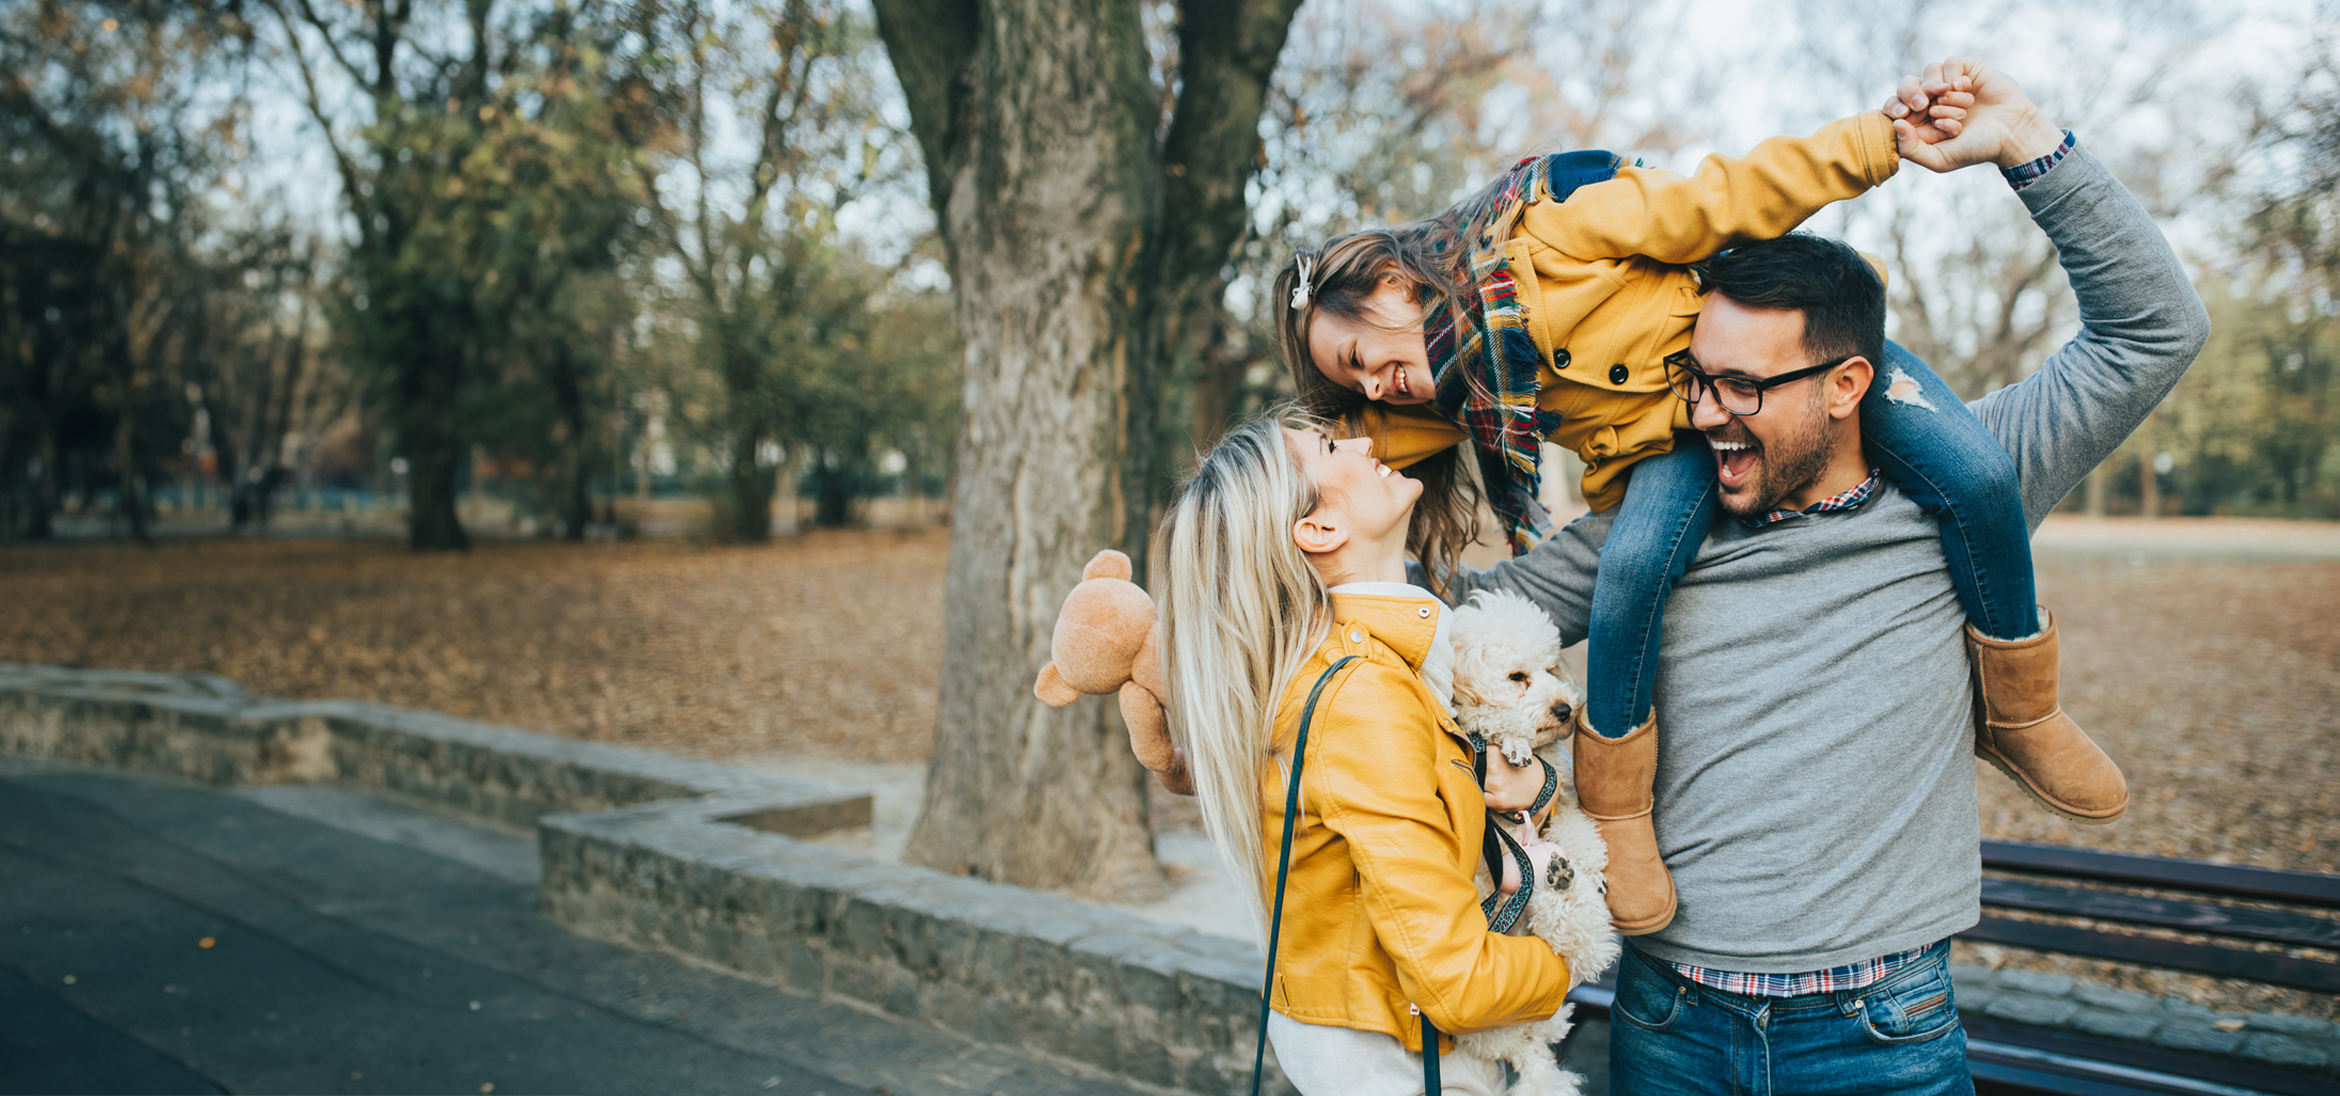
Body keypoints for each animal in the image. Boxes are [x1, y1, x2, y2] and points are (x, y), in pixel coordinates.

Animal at [1441, 590, 1628, 1096]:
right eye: (1517, 677)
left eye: (1550, 669)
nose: (1565, 709)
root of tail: (1526, 1048)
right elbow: (1484, 714)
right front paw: (1513, 735)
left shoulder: (1559, 799)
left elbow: (1579, 829)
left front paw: (1590, 861)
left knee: (1583, 945)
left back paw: (1564, 880)